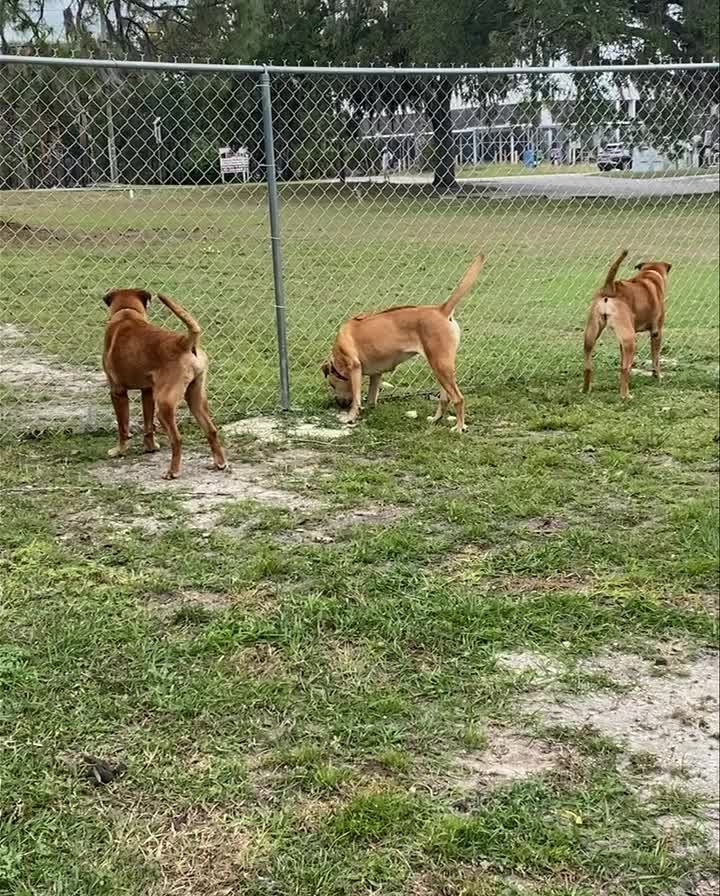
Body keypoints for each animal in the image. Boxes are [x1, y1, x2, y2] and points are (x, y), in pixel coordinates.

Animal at [102, 290, 226, 480]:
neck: (127, 313)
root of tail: (184, 342)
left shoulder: (117, 392)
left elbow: (123, 426)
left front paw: (119, 451)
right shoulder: (147, 392)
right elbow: (147, 425)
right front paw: (150, 447)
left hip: (165, 406)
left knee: (177, 439)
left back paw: (173, 471)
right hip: (195, 398)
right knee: (211, 430)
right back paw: (219, 463)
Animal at [320, 252, 484, 434]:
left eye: (332, 384)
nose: (339, 404)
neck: (337, 355)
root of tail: (442, 310)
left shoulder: (354, 367)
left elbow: (356, 397)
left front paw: (350, 416)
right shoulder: (376, 374)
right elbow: (371, 397)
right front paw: (369, 410)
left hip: (440, 366)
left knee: (458, 398)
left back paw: (459, 426)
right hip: (441, 368)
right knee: (445, 398)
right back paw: (436, 419)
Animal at [584, 247, 672, 398]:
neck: (650, 274)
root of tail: (610, 287)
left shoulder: (621, 341)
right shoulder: (656, 332)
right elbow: (655, 358)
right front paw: (658, 376)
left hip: (591, 334)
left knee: (588, 366)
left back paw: (585, 390)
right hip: (630, 339)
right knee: (624, 369)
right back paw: (626, 396)